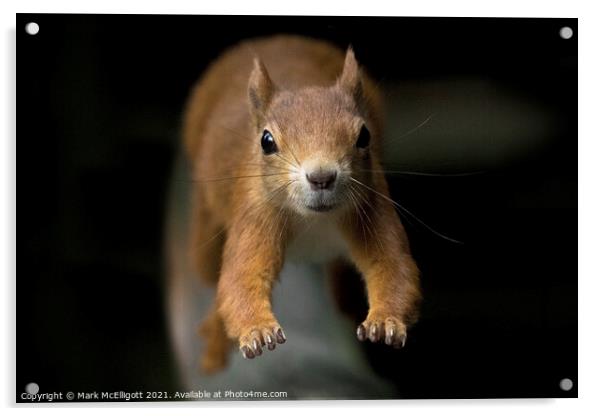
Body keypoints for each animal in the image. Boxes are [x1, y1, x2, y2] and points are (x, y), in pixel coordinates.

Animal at [180, 35, 420, 372]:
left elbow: (393, 266)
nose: (321, 177)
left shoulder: (372, 203)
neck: (314, 221)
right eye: (266, 141)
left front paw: (386, 321)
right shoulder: (255, 216)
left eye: (364, 136)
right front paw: (258, 330)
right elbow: (240, 280)